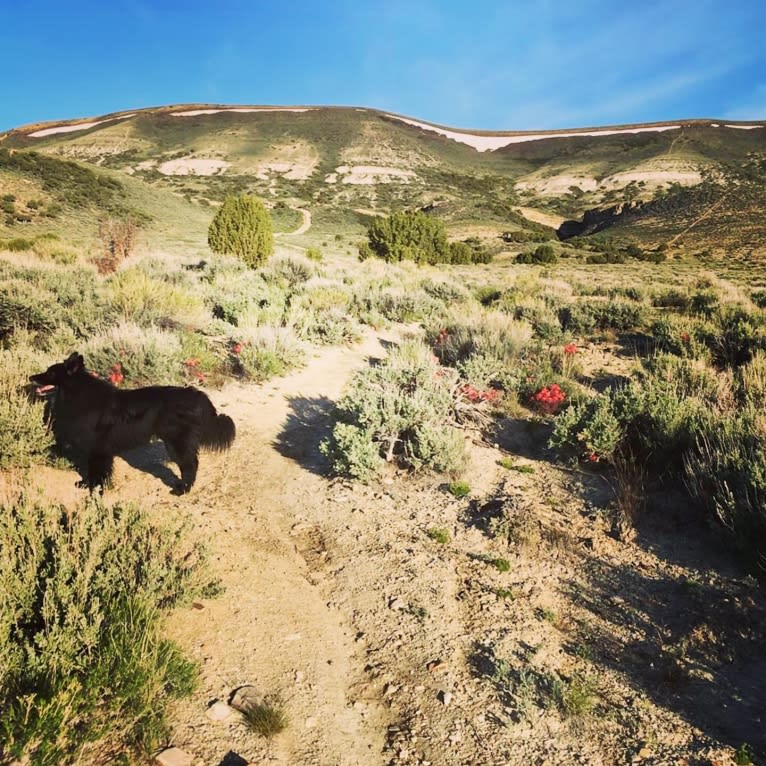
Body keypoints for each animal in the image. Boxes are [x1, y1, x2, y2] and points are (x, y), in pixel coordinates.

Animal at [30, 352, 236, 496]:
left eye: (50, 373)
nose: (31, 378)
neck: (79, 394)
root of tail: (197, 395)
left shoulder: (98, 448)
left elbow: (97, 471)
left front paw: (94, 489)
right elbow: (95, 470)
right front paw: (89, 485)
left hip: (177, 443)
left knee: (190, 465)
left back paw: (181, 490)